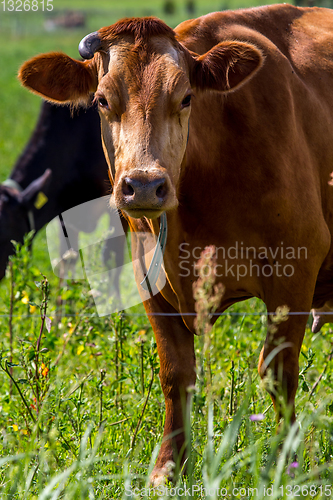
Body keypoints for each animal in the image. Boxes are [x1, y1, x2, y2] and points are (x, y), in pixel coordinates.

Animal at [18, 4, 333, 484]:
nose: (145, 186)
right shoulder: (147, 277)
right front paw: (169, 468)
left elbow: (278, 371)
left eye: (185, 98)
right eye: (102, 100)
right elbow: (175, 373)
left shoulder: (296, 269)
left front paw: (286, 463)